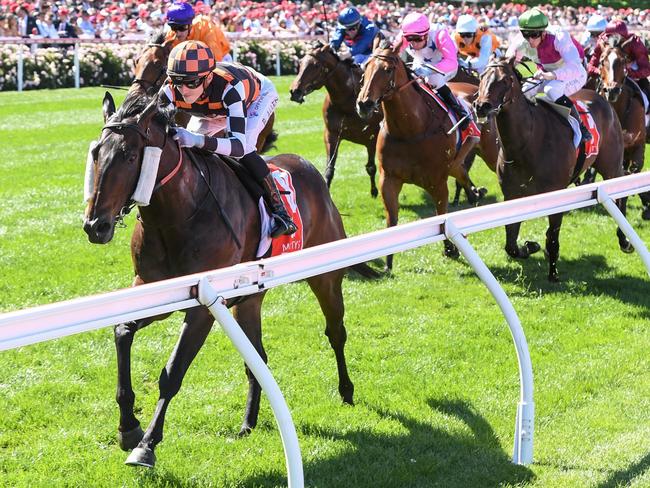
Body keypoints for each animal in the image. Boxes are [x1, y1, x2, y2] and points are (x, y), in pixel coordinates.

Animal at [83, 91, 362, 468]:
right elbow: (122, 331)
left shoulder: (202, 307)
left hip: (325, 276)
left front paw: (147, 444)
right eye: (97, 153)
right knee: (257, 358)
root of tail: (310, 169)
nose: (95, 226)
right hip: (250, 300)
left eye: (129, 155)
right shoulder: (154, 291)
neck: (177, 214)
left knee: (335, 332)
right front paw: (128, 426)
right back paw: (248, 422)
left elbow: (172, 372)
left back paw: (346, 391)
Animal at [288, 40, 380, 196]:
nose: (295, 91)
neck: (347, 103)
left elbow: (371, 167)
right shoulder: (332, 134)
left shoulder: (372, 137)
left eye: (315, 65)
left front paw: (374, 191)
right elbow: (329, 169)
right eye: (300, 63)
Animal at [354, 39, 480, 270]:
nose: (364, 104)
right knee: (461, 172)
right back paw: (475, 193)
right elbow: (392, 220)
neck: (410, 130)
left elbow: (441, 215)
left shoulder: (437, 181)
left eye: (387, 69)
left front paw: (451, 248)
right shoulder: (389, 179)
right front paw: (388, 262)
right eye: (365, 68)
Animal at [474, 57, 632, 280]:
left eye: (505, 80)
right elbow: (511, 244)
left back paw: (625, 241)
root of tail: (603, 99)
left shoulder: (557, 196)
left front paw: (553, 274)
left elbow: (553, 238)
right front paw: (530, 247)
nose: (481, 106)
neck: (527, 143)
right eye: (481, 76)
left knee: (621, 191)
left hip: (611, 166)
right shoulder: (512, 196)